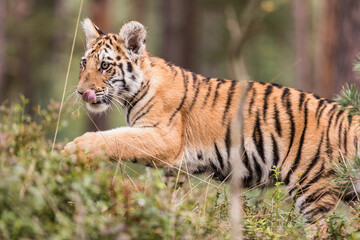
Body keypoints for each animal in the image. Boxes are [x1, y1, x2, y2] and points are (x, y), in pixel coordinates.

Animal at [64, 19, 360, 229]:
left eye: (105, 66)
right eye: (83, 64)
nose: (80, 92)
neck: (133, 94)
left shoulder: (163, 139)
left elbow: (116, 138)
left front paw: (73, 149)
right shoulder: (171, 167)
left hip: (313, 192)